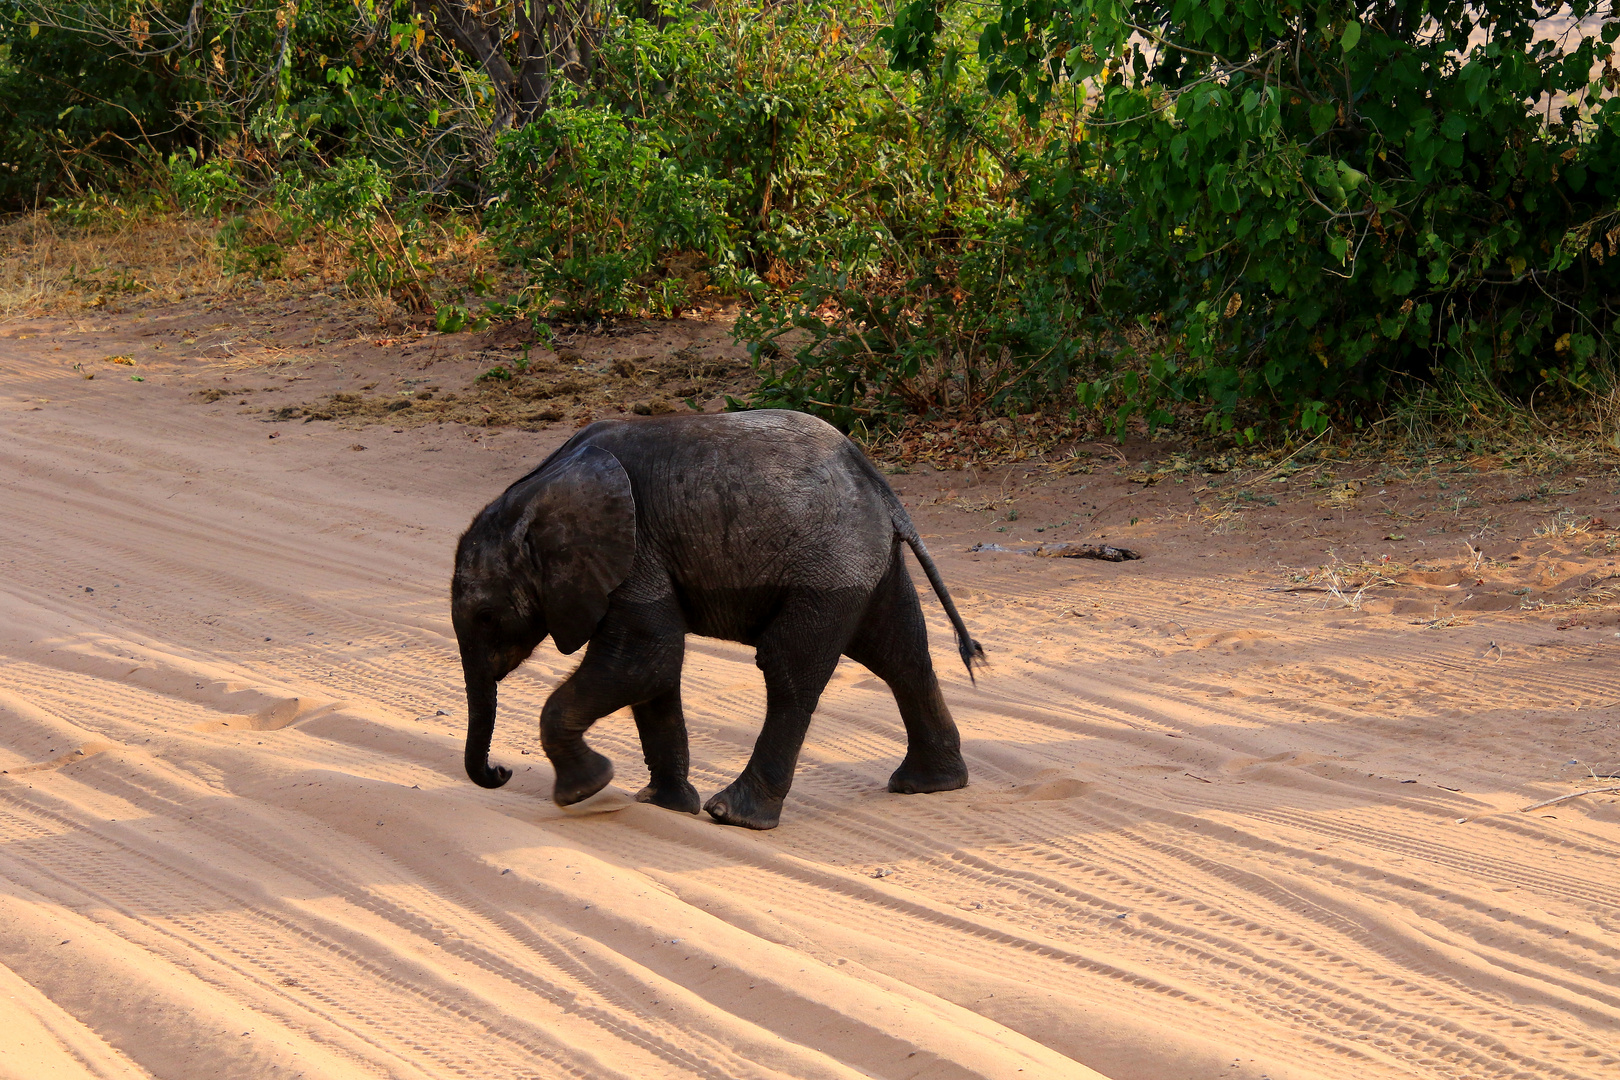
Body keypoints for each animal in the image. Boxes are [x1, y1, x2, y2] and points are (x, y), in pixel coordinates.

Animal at [456, 409, 984, 835]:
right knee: (900, 655)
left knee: (789, 671)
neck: (537, 492)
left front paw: (585, 790)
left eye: (486, 616)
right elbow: (655, 673)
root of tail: (883, 490)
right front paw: (662, 806)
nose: (500, 772)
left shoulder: (636, 552)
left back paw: (735, 815)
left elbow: (646, 659)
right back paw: (931, 784)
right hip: (862, 566)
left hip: (830, 567)